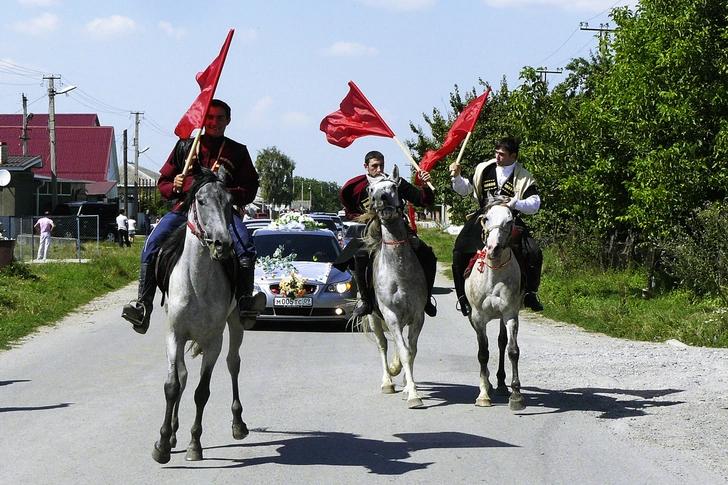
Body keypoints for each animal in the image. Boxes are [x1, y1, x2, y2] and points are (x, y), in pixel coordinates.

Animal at [150, 168, 250, 464]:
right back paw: (173, 433)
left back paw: (238, 424)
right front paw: (163, 443)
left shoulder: (212, 341)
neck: (196, 282)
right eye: (201, 201)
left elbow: (202, 392)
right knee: (183, 376)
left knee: (233, 363)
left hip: (235, 324)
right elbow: (173, 384)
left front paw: (195, 444)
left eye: (230, 202)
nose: (223, 244)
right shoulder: (174, 335)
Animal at [362, 166, 426, 408]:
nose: (381, 199)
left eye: (393, 186)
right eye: (371, 190)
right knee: (383, 345)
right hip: (373, 318)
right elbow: (403, 351)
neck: (399, 272)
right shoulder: (390, 315)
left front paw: (409, 389)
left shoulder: (417, 315)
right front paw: (414, 395)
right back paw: (387, 382)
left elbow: (411, 351)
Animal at [464, 196, 528, 408]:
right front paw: (483, 394)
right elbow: (483, 352)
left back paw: (500, 383)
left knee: (501, 342)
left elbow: (512, 350)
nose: (493, 248)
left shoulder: (510, 314)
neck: (494, 274)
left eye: (510, 221)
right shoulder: (477, 317)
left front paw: (516, 395)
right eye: (486, 218)